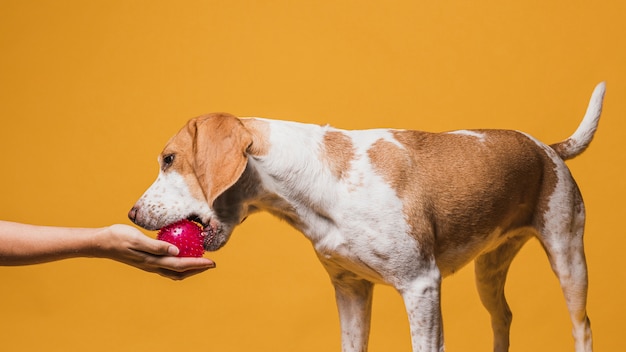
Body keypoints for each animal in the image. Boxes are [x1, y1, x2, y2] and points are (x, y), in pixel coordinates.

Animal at [128, 83, 604, 352]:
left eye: (169, 159)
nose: (131, 213)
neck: (323, 183)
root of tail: (547, 148)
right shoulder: (351, 291)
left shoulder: (421, 287)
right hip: (488, 271)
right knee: (502, 317)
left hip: (569, 260)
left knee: (582, 327)